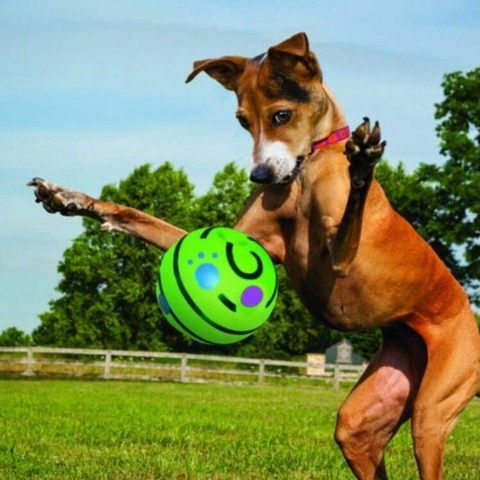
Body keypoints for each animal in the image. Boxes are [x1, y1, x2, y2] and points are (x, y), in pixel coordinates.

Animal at [28, 31, 478, 478]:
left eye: (281, 115)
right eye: (243, 120)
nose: (259, 176)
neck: (306, 172)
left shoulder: (340, 259)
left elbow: (353, 206)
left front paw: (364, 161)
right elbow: (137, 217)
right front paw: (71, 198)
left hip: (433, 409)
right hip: (369, 415)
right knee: (360, 432)